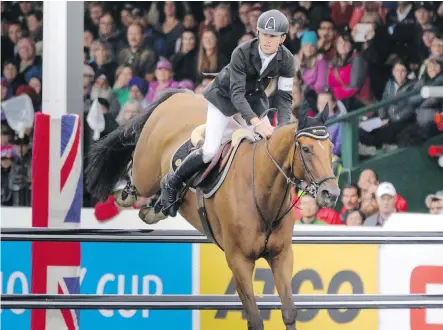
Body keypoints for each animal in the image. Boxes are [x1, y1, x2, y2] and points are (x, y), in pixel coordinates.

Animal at [86, 88, 340, 330]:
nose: (331, 193)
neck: (261, 190)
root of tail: (181, 95)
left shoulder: (281, 256)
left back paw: (158, 207)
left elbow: (288, 312)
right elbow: (255, 319)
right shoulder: (239, 261)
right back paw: (128, 195)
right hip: (145, 172)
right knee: (135, 171)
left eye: (330, 148)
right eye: (306, 149)